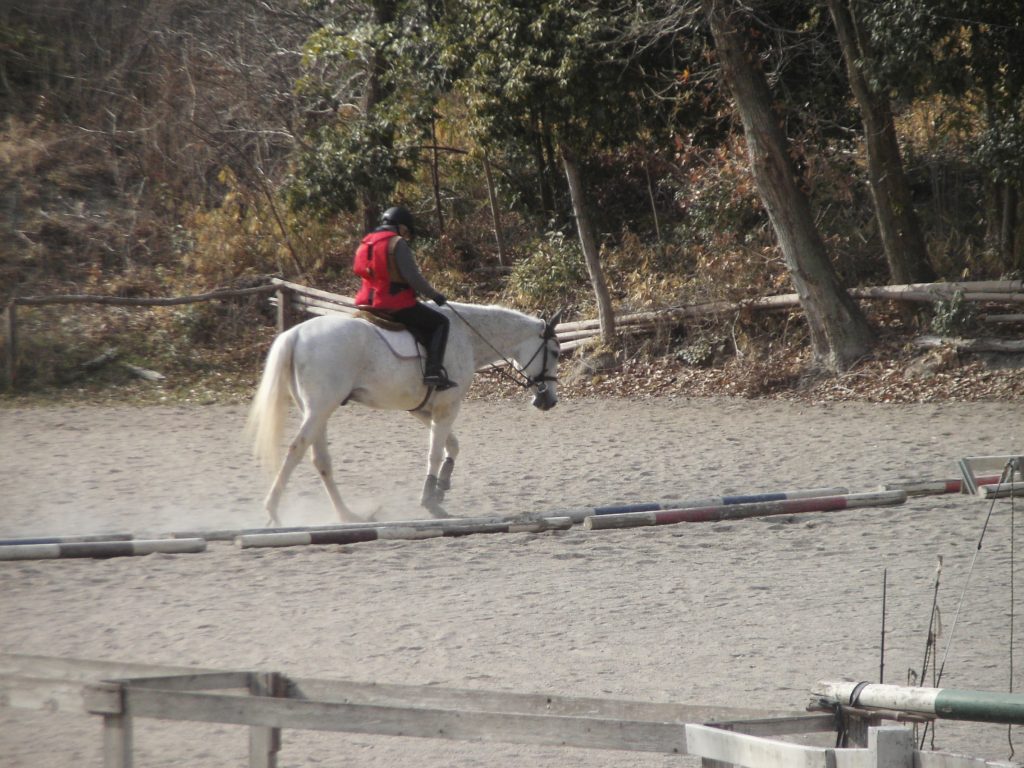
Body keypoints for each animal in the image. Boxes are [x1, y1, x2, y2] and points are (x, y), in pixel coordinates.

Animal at [245, 302, 562, 526]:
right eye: (556, 352)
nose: (549, 401)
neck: (467, 337)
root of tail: (295, 334)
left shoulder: (422, 410)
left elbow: (452, 446)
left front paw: (442, 485)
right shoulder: (447, 407)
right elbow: (435, 451)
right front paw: (431, 501)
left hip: (318, 411)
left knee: (320, 460)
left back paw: (348, 516)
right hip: (321, 408)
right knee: (296, 450)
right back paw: (273, 510)